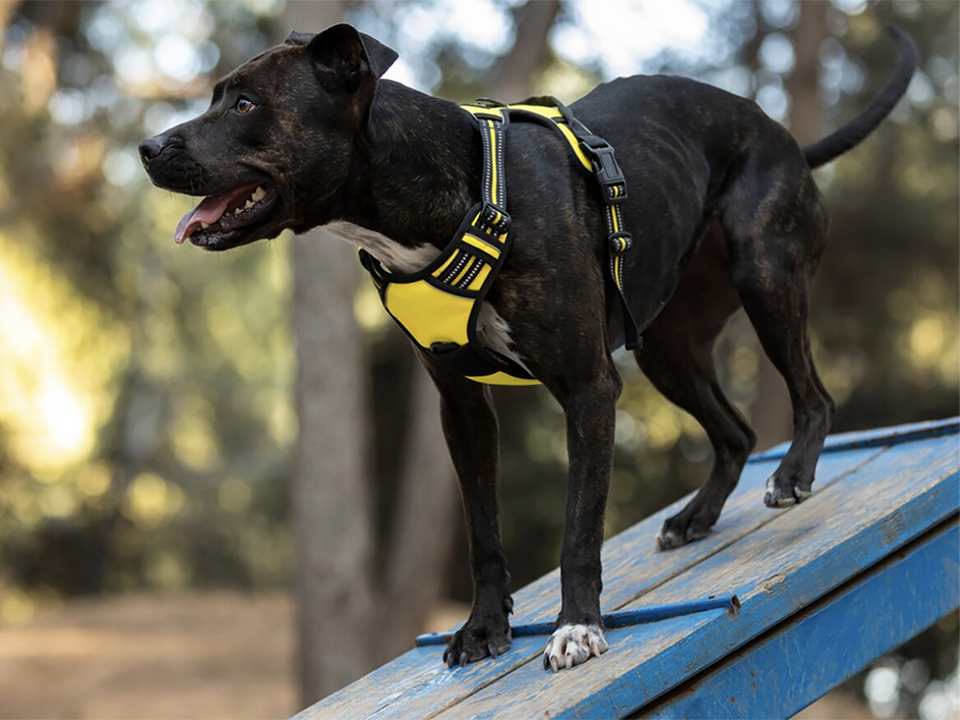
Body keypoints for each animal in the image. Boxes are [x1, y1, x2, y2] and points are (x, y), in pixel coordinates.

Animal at [139, 23, 920, 676]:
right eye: (215, 95)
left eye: (244, 103)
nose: (146, 150)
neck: (445, 191)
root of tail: (782, 134)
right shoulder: (461, 407)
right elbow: (482, 533)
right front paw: (485, 629)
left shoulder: (588, 389)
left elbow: (579, 529)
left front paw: (577, 628)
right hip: (668, 348)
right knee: (734, 433)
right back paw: (695, 517)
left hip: (765, 273)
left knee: (814, 397)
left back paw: (792, 475)